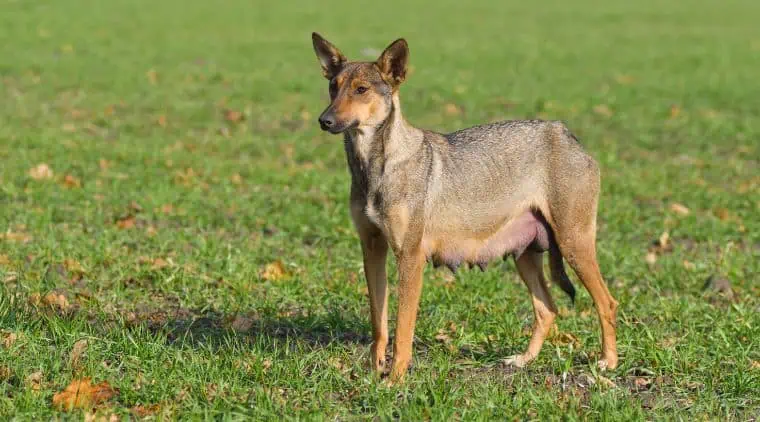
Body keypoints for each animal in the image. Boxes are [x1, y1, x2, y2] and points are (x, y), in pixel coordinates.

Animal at [308, 33, 616, 382]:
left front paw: (395, 380)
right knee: (547, 309)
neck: (375, 166)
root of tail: (563, 131)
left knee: (607, 303)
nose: (324, 120)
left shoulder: (410, 258)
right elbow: (380, 325)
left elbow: (403, 331)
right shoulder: (372, 250)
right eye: (333, 86)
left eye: (361, 89)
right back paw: (523, 361)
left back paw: (608, 363)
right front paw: (375, 374)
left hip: (574, 244)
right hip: (525, 256)